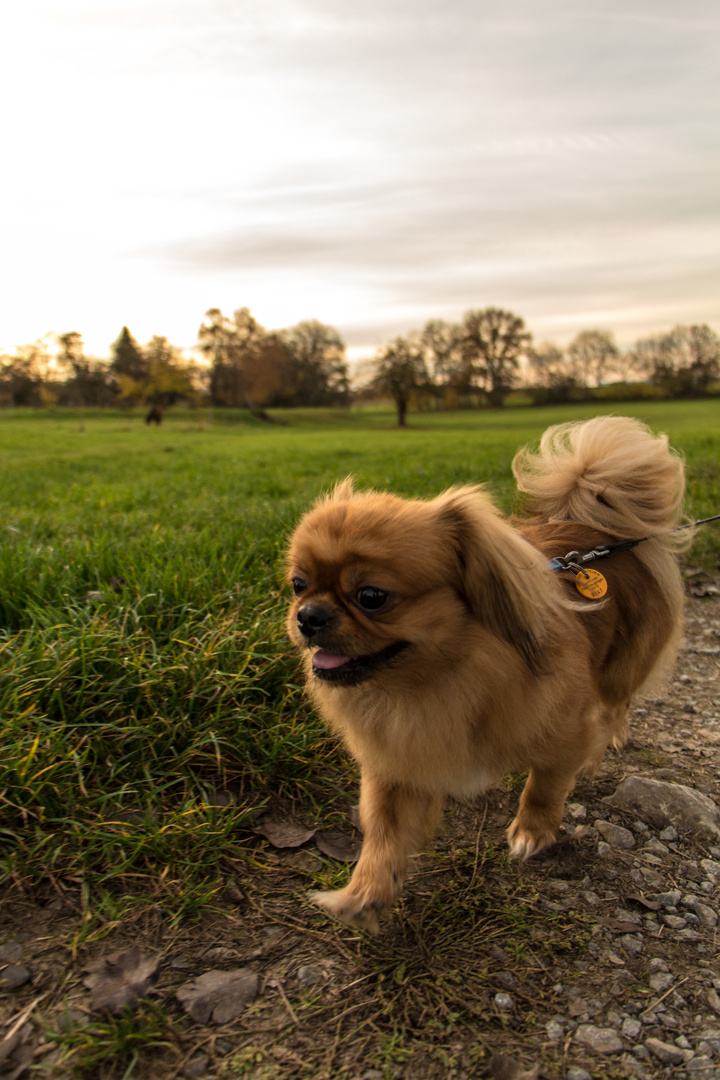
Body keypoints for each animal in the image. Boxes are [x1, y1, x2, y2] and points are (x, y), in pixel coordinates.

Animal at [284, 416, 686, 933]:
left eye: (372, 597)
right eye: (298, 584)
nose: (307, 615)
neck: (439, 684)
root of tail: (600, 528)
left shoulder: (563, 733)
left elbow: (545, 785)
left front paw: (532, 832)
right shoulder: (396, 762)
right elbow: (383, 834)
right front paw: (365, 892)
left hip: (620, 669)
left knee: (615, 705)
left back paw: (604, 745)